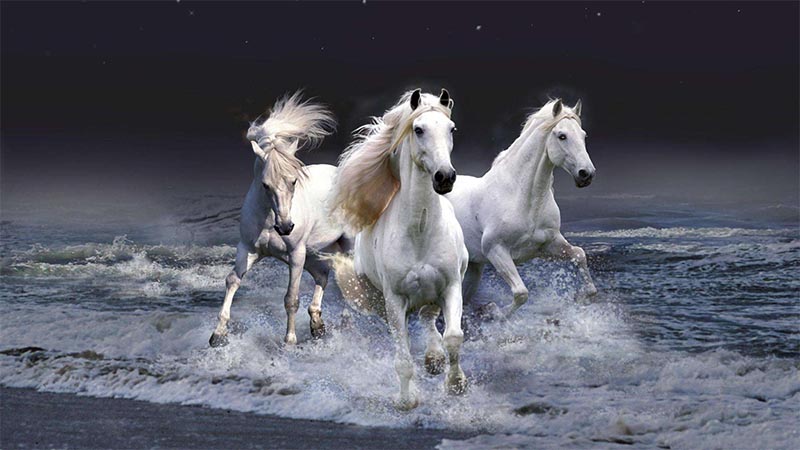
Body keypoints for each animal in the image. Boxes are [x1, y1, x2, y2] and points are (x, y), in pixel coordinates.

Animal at [209, 92, 353, 347]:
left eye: (294, 181)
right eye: (265, 184)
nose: (286, 227)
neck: (269, 220)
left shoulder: (295, 254)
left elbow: (291, 298)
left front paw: (290, 341)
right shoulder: (248, 249)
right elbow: (232, 280)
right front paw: (218, 335)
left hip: (343, 246)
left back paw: (345, 322)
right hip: (313, 253)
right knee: (323, 275)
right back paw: (317, 324)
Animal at [329, 89, 468, 410]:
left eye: (451, 129)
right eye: (418, 130)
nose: (445, 177)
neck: (420, 231)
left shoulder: (451, 285)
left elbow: (454, 337)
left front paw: (456, 384)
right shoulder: (394, 300)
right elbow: (403, 358)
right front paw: (407, 400)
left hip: (433, 294)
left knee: (429, 318)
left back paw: (434, 359)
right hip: (381, 301)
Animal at [446, 99, 597, 317]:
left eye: (583, 135)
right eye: (562, 136)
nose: (586, 174)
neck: (523, 199)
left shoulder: (548, 244)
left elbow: (579, 254)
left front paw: (581, 297)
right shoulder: (496, 250)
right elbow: (521, 293)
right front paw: (494, 312)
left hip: (473, 267)